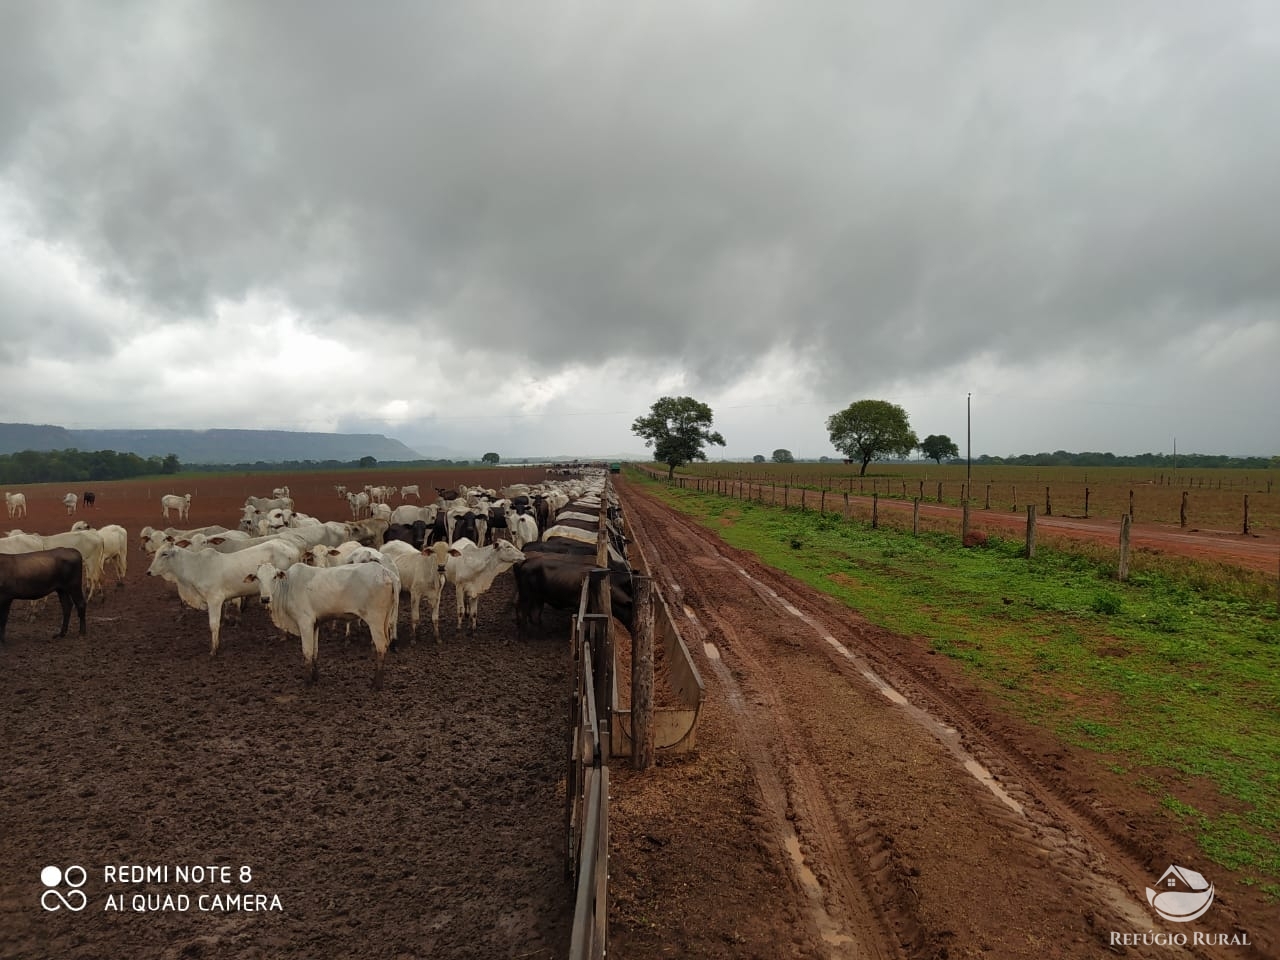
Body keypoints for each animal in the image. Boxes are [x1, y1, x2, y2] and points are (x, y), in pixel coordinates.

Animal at [146, 537, 300, 660]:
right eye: (155, 553)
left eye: (164, 554)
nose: (148, 572)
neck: (196, 567)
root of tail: (291, 546)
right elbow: (220, 622)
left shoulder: (214, 600)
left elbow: (213, 624)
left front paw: (213, 650)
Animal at [244, 563, 394, 691]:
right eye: (257, 578)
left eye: (274, 577)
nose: (265, 598)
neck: (288, 586)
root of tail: (384, 571)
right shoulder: (315, 624)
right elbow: (315, 650)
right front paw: (315, 677)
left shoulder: (305, 622)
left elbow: (307, 651)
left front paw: (307, 681)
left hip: (375, 620)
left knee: (381, 646)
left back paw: (376, 685)